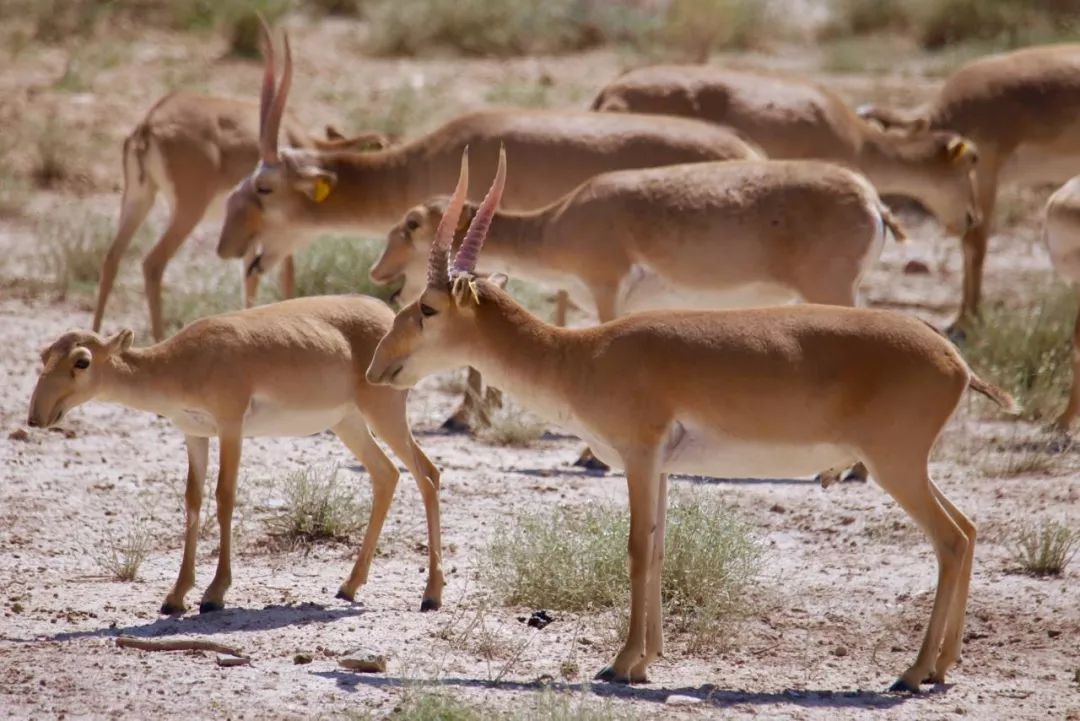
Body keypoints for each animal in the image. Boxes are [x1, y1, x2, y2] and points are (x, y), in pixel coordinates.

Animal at [28, 295, 442, 617]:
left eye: (82, 360)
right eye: (45, 354)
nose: (36, 417)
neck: (181, 362)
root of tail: (387, 315)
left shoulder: (230, 427)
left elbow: (224, 496)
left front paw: (214, 594)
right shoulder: (195, 435)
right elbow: (193, 500)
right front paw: (175, 596)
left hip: (383, 414)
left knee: (427, 474)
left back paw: (431, 596)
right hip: (348, 423)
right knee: (388, 474)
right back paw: (349, 585)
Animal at [367, 147, 1015, 690]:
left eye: (428, 307)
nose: (378, 365)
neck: (583, 356)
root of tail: (956, 361)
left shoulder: (638, 457)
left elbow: (635, 548)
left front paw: (619, 663)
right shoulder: (662, 469)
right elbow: (657, 549)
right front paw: (644, 661)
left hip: (894, 466)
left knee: (950, 540)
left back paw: (912, 672)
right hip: (907, 466)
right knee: (969, 530)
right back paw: (942, 668)